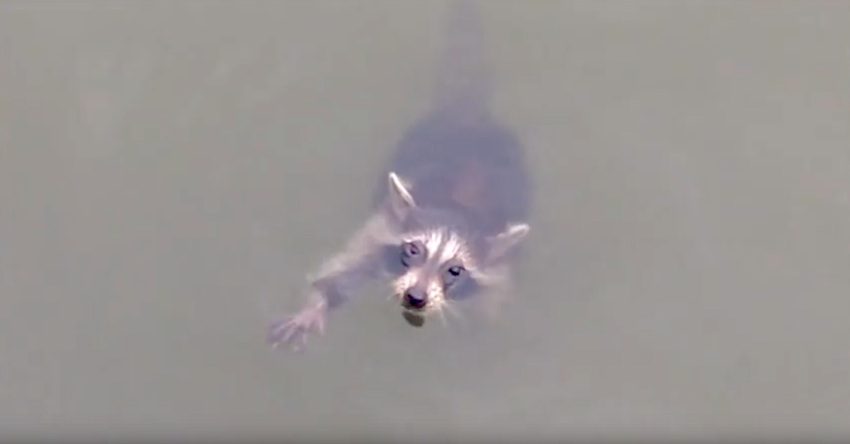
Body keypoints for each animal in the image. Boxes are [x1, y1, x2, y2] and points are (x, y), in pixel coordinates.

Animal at [268, 0, 531, 350]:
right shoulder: (380, 229)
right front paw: (315, 304)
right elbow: (341, 271)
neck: (457, 206)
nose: (416, 297)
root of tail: (469, 117)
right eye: (413, 250)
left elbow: (490, 312)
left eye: (456, 270)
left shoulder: (497, 276)